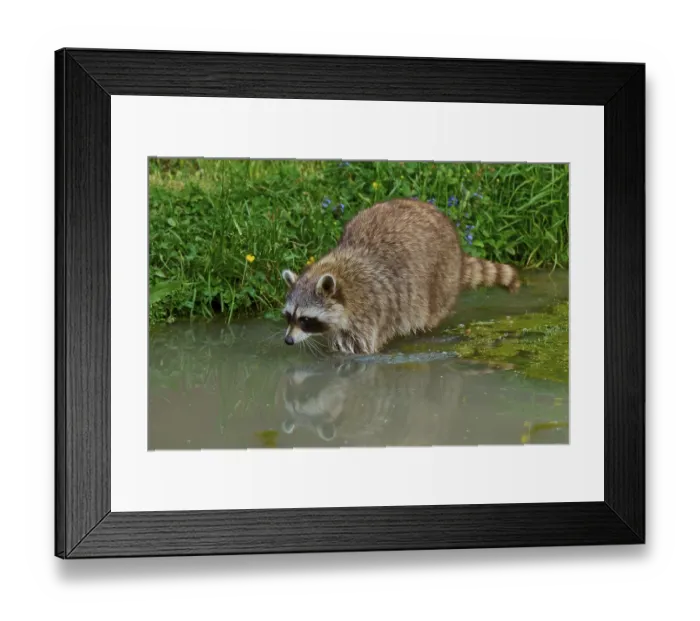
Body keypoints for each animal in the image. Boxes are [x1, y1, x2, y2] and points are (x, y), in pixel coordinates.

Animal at [281, 198, 520, 355]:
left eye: (305, 319)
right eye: (288, 316)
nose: (288, 340)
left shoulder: (368, 312)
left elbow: (358, 350)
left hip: (442, 277)